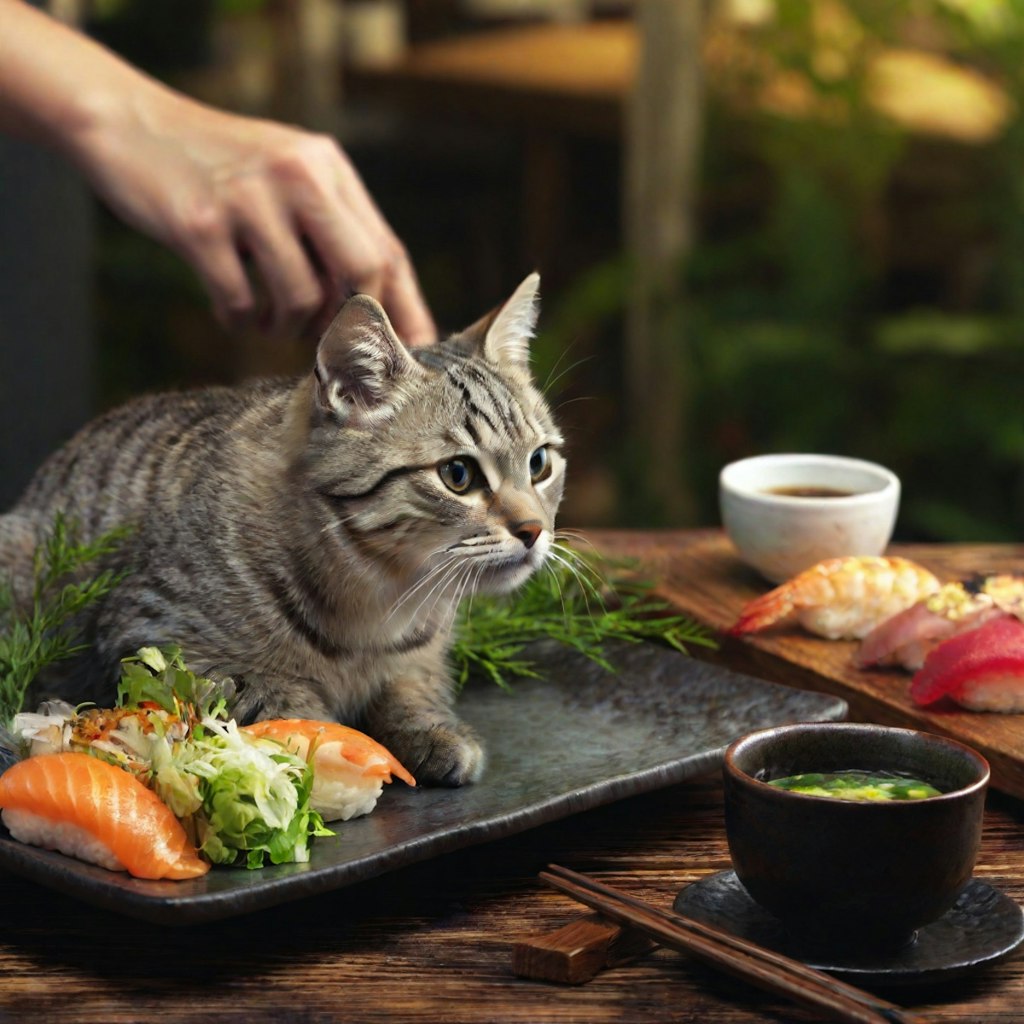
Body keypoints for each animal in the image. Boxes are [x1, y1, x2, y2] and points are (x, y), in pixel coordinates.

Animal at [0, 272, 569, 782]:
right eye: (458, 475)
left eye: (539, 463)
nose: (534, 530)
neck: (380, 597)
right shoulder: (153, 632)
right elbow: (276, 698)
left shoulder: (419, 654)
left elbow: (412, 685)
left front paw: (431, 729)